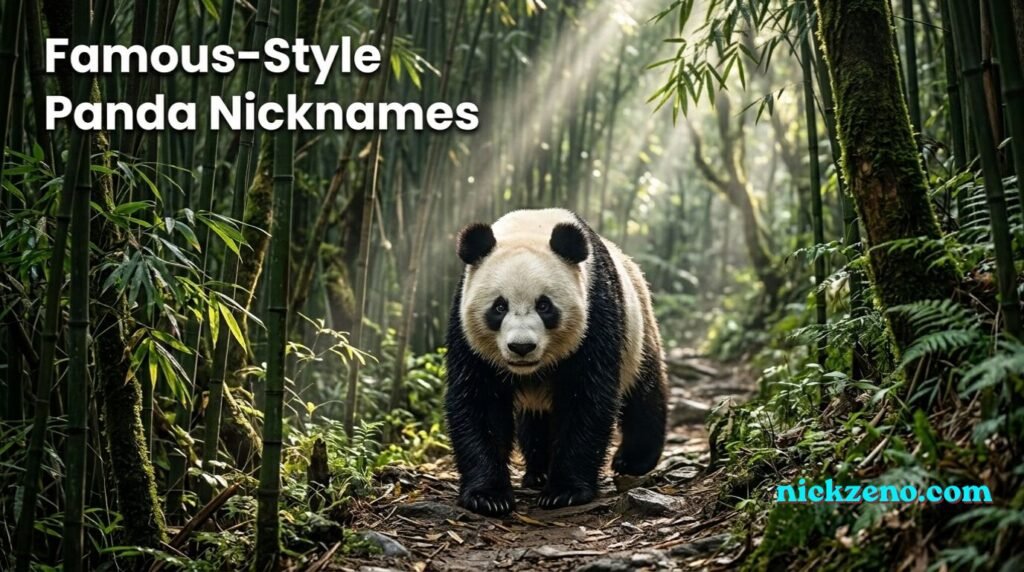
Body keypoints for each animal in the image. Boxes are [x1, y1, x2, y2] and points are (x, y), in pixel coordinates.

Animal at [445, 208, 668, 516]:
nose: (522, 347)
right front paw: (488, 495)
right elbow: (480, 402)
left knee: (643, 393)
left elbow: (586, 398)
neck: (530, 226)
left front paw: (565, 491)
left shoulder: (597, 312)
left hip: (639, 330)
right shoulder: (465, 329)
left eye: (544, 305)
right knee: (534, 420)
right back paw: (537, 471)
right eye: (499, 307)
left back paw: (633, 460)